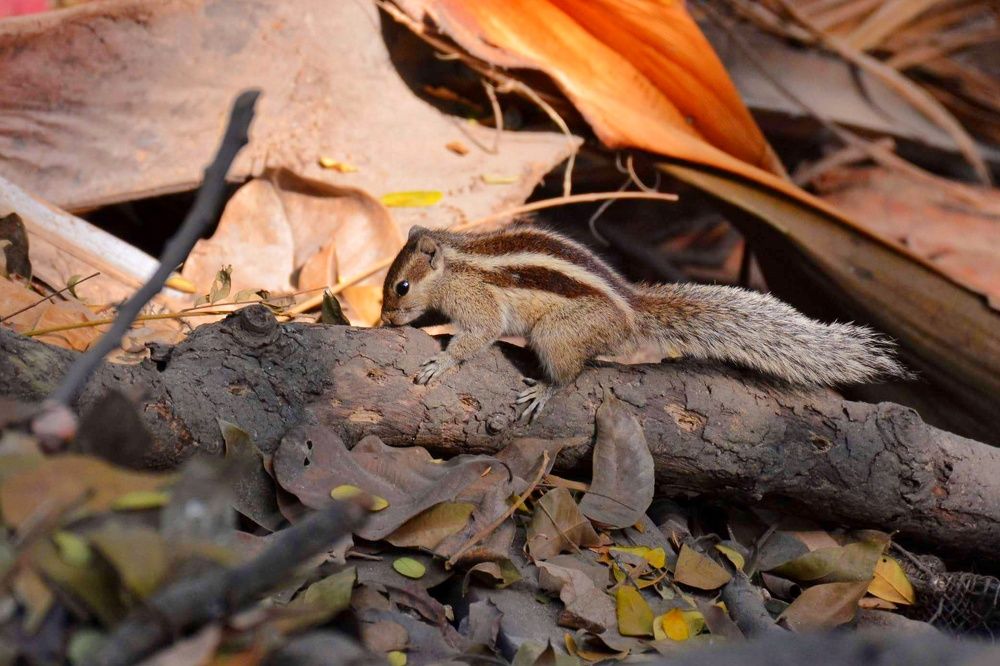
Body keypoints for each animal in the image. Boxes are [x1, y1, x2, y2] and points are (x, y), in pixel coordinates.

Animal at [379, 223, 911, 420]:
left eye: (400, 287)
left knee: (571, 371)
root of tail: (632, 309)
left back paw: (546, 389)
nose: (384, 319)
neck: (453, 263)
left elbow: (478, 335)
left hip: (558, 333)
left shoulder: (478, 303)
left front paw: (442, 362)